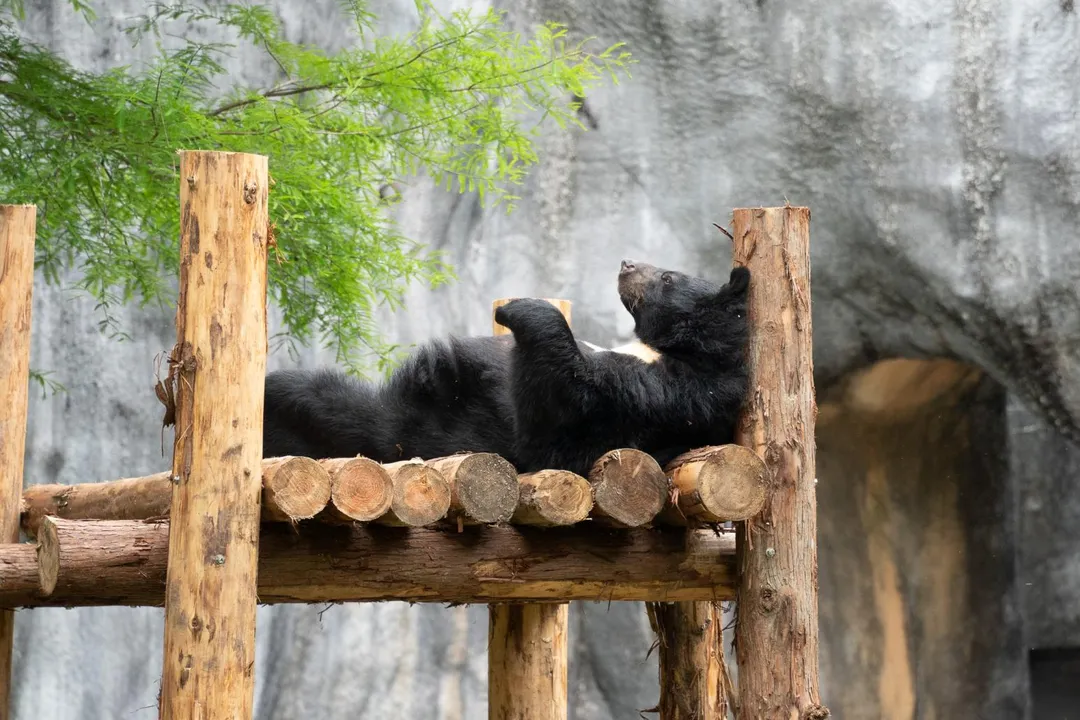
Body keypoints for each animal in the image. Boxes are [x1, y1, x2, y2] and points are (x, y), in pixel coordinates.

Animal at [262, 260, 751, 476]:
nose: (626, 263)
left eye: (667, 277)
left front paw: (520, 308)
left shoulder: (663, 397)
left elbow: (559, 420)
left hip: (391, 424)